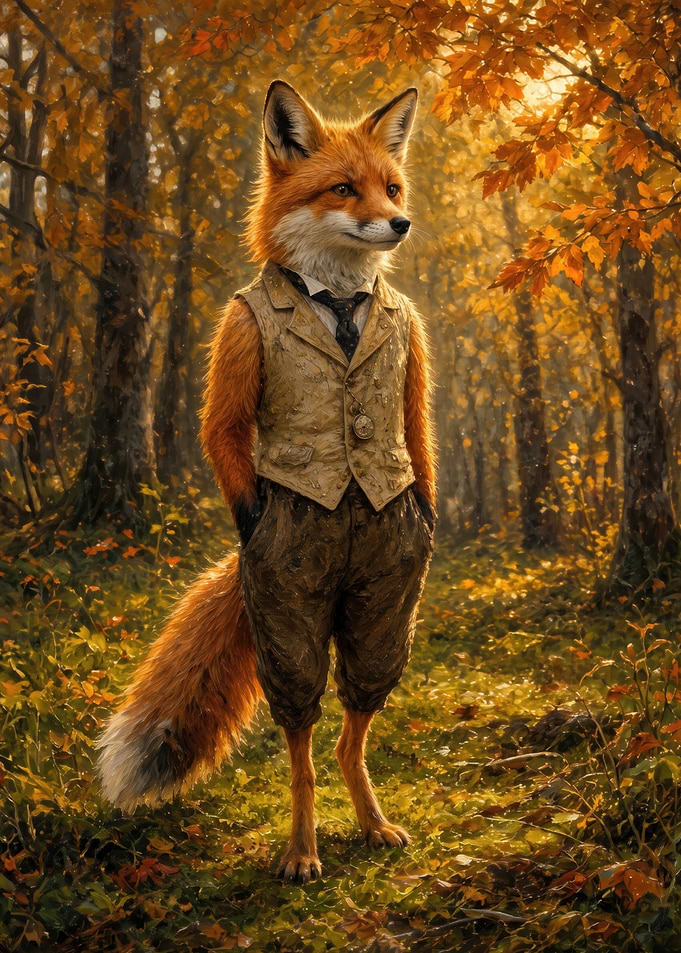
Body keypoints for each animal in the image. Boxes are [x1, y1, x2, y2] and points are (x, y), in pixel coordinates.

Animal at [97, 80, 437, 885]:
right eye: (344, 189)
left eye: (391, 187)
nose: (401, 222)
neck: (339, 301)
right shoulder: (238, 338)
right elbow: (222, 427)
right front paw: (300, 849)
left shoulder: (410, 351)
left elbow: (415, 433)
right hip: (289, 608)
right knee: (305, 738)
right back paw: (303, 849)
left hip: (384, 601)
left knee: (350, 728)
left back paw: (370, 821)